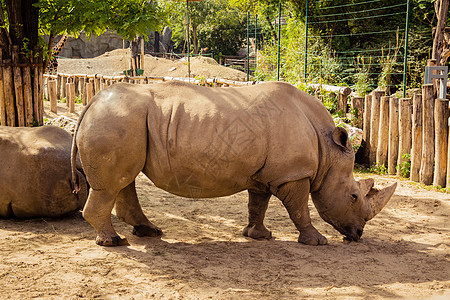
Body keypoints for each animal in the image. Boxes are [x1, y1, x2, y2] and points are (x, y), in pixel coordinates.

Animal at [71, 81, 398, 246]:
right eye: (354, 196)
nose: (358, 235)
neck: (328, 152)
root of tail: (92, 101)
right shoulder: (293, 175)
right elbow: (299, 209)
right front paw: (316, 242)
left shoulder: (265, 174)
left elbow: (258, 204)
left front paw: (259, 236)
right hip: (116, 120)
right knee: (112, 184)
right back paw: (113, 242)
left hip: (122, 122)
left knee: (125, 179)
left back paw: (148, 232)